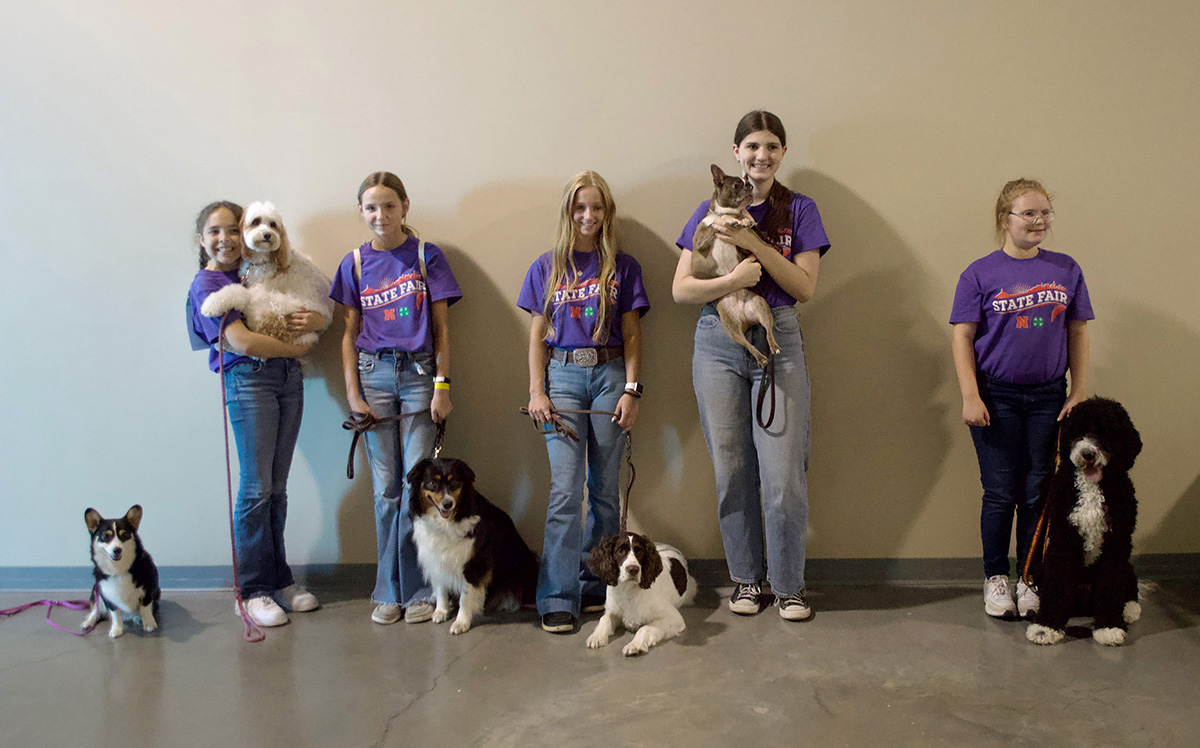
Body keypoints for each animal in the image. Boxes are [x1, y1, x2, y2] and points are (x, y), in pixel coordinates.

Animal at [82, 504, 160, 638]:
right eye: (105, 536)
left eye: (124, 535)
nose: (117, 550)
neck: (118, 569)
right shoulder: (108, 597)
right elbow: (115, 614)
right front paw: (116, 629)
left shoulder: (149, 590)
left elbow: (145, 608)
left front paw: (149, 624)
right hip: (96, 590)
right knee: (96, 610)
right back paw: (88, 622)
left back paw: (138, 618)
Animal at [201, 201, 333, 348]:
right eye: (256, 221)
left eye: (273, 224)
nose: (267, 234)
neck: (259, 261)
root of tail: (308, 337)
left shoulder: (261, 287)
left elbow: (236, 291)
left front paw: (210, 303)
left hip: (274, 305)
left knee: (244, 297)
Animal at [410, 458, 542, 633]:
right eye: (432, 482)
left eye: (455, 482)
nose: (447, 504)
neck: (446, 522)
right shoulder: (436, 559)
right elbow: (441, 588)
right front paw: (441, 611)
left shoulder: (474, 563)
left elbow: (465, 596)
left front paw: (461, 622)